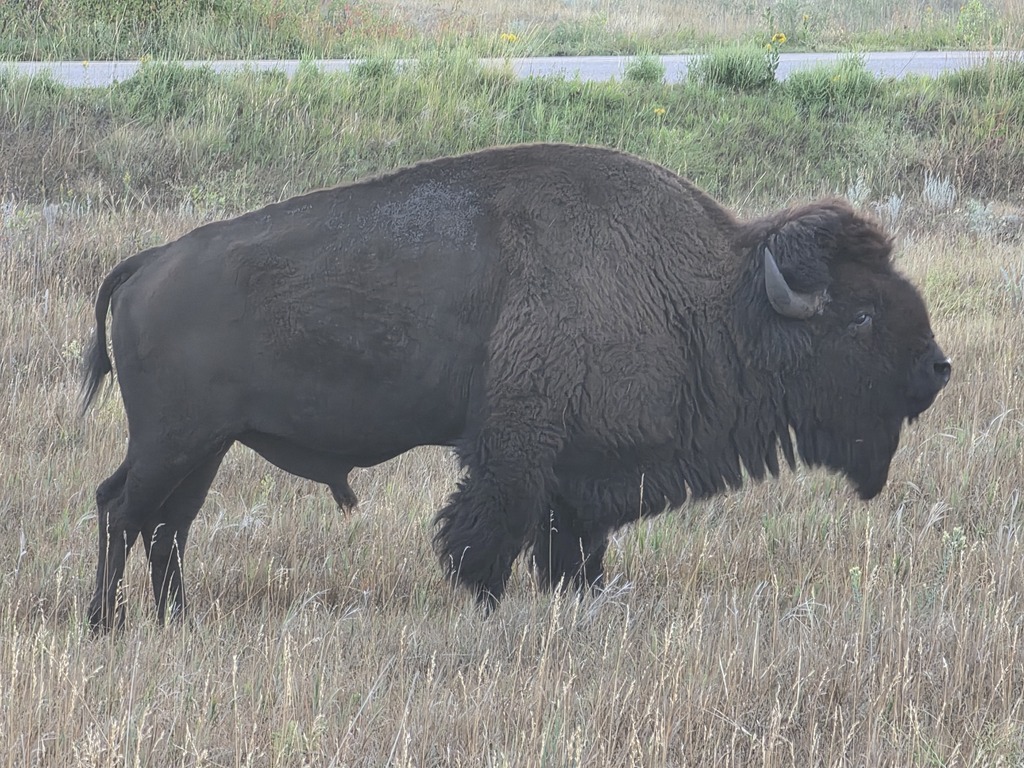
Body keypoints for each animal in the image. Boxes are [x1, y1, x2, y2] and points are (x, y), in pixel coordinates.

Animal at [81, 143, 950, 628]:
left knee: (168, 526)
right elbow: (487, 536)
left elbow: (574, 550)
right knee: (122, 509)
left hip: (207, 447)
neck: (710, 295)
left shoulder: (583, 472)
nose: (936, 369)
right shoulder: (518, 451)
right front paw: (487, 606)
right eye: (862, 315)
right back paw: (105, 625)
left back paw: (179, 624)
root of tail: (149, 263)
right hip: (175, 439)